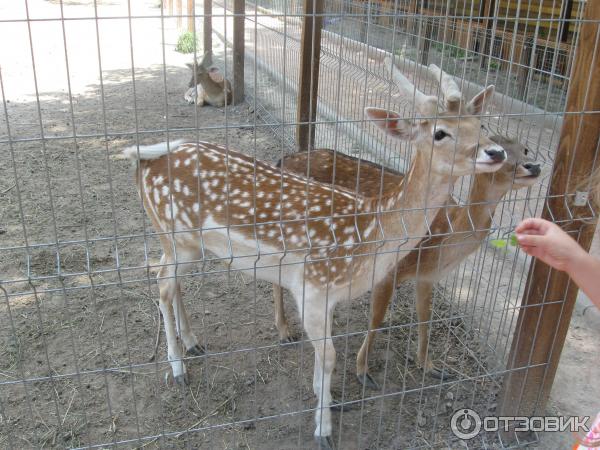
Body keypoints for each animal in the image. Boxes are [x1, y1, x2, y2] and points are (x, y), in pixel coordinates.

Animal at [125, 58, 506, 448]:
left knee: (170, 281)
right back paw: (178, 368)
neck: (368, 238)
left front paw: (328, 400)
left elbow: (325, 355)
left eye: (482, 124)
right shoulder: (312, 287)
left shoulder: (330, 295)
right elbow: (330, 355)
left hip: (185, 244)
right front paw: (323, 429)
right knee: (162, 283)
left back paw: (193, 343)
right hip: (173, 232)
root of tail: (145, 161)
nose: (496, 152)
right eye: (440, 133)